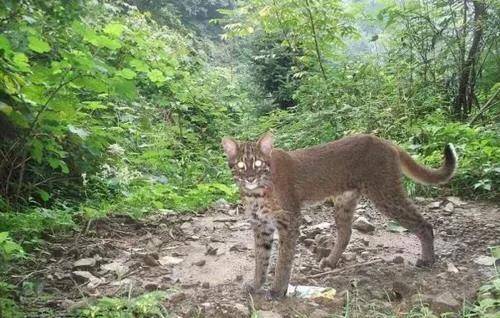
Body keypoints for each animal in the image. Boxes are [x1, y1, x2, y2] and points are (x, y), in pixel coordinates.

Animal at [223, 133, 458, 300]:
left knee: (424, 224)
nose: (250, 178)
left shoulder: (289, 220)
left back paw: (427, 260)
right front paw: (256, 285)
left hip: (385, 194)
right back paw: (331, 261)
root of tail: (384, 140)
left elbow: (284, 259)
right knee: (346, 232)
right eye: (241, 165)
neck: (256, 192)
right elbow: (261, 258)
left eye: (258, 164)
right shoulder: (261, 225)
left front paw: (277, 290)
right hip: (344, 201)